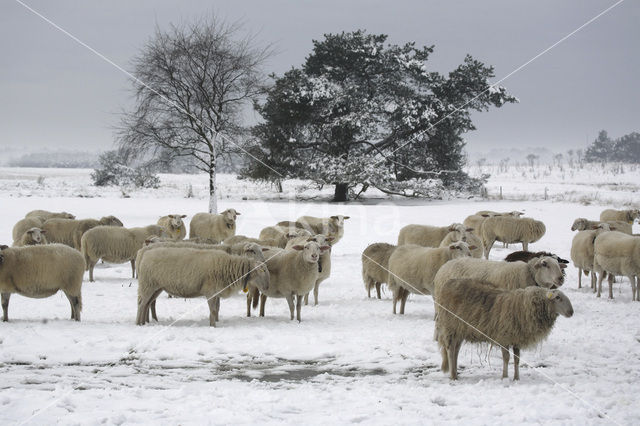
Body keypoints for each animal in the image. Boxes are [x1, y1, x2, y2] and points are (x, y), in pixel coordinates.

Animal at [138, 246, 270, 326]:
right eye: (263, 270)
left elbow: (216, 309)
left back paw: (144, 322)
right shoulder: (210, 291)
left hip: (156, 287)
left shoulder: (216, 292)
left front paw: (214, 322)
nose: (268, 287)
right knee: (142, 304)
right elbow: (213, 310)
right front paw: (213, 326)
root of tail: (145, 254)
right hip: (147, 285)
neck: (229, 268)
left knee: (147, 304)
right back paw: (139, 323)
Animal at [436, 280, 576, 380]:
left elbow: (517, 359)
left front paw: (516, 378)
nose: (571, 312)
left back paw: (455, 372)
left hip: (460, 329)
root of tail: (447, 284)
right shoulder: (504, 337)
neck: (523, 307)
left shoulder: (517, 339)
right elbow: (506, 358)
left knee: (456, 350)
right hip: (451, 326)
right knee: (450, 350)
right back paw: (453, 376)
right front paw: (505, 376)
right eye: (558, 297)